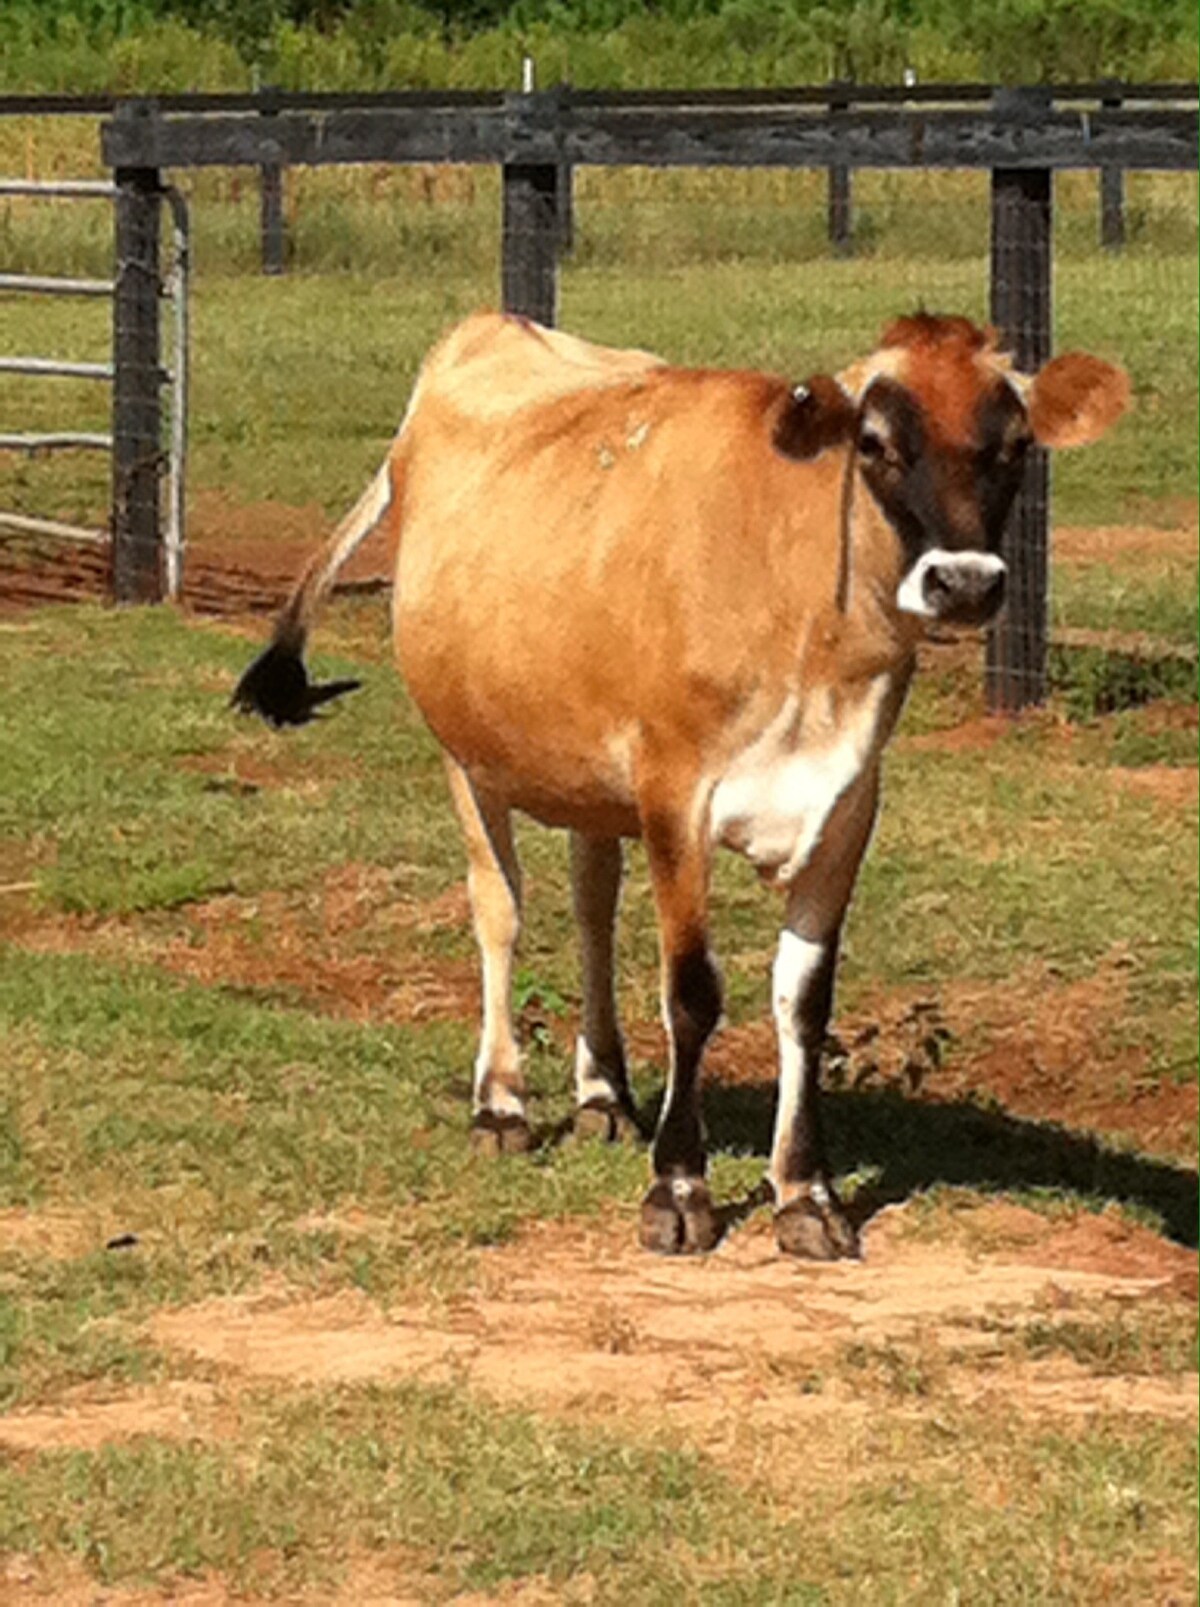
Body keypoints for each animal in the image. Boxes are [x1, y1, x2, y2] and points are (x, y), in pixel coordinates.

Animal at [232, 310, 1124, 1253]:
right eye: (876, 442)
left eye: (1016, 445)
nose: (963, 583)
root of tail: (493, 326)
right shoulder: (676, 793)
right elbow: (692, 992)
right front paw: (680, 1188)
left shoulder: (849, 804)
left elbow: (803, 1001)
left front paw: (805, 1192)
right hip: (467, 754)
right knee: (500, 909)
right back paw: (502, 1103)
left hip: (590, 776)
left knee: (591, 904)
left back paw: (603, 1092)